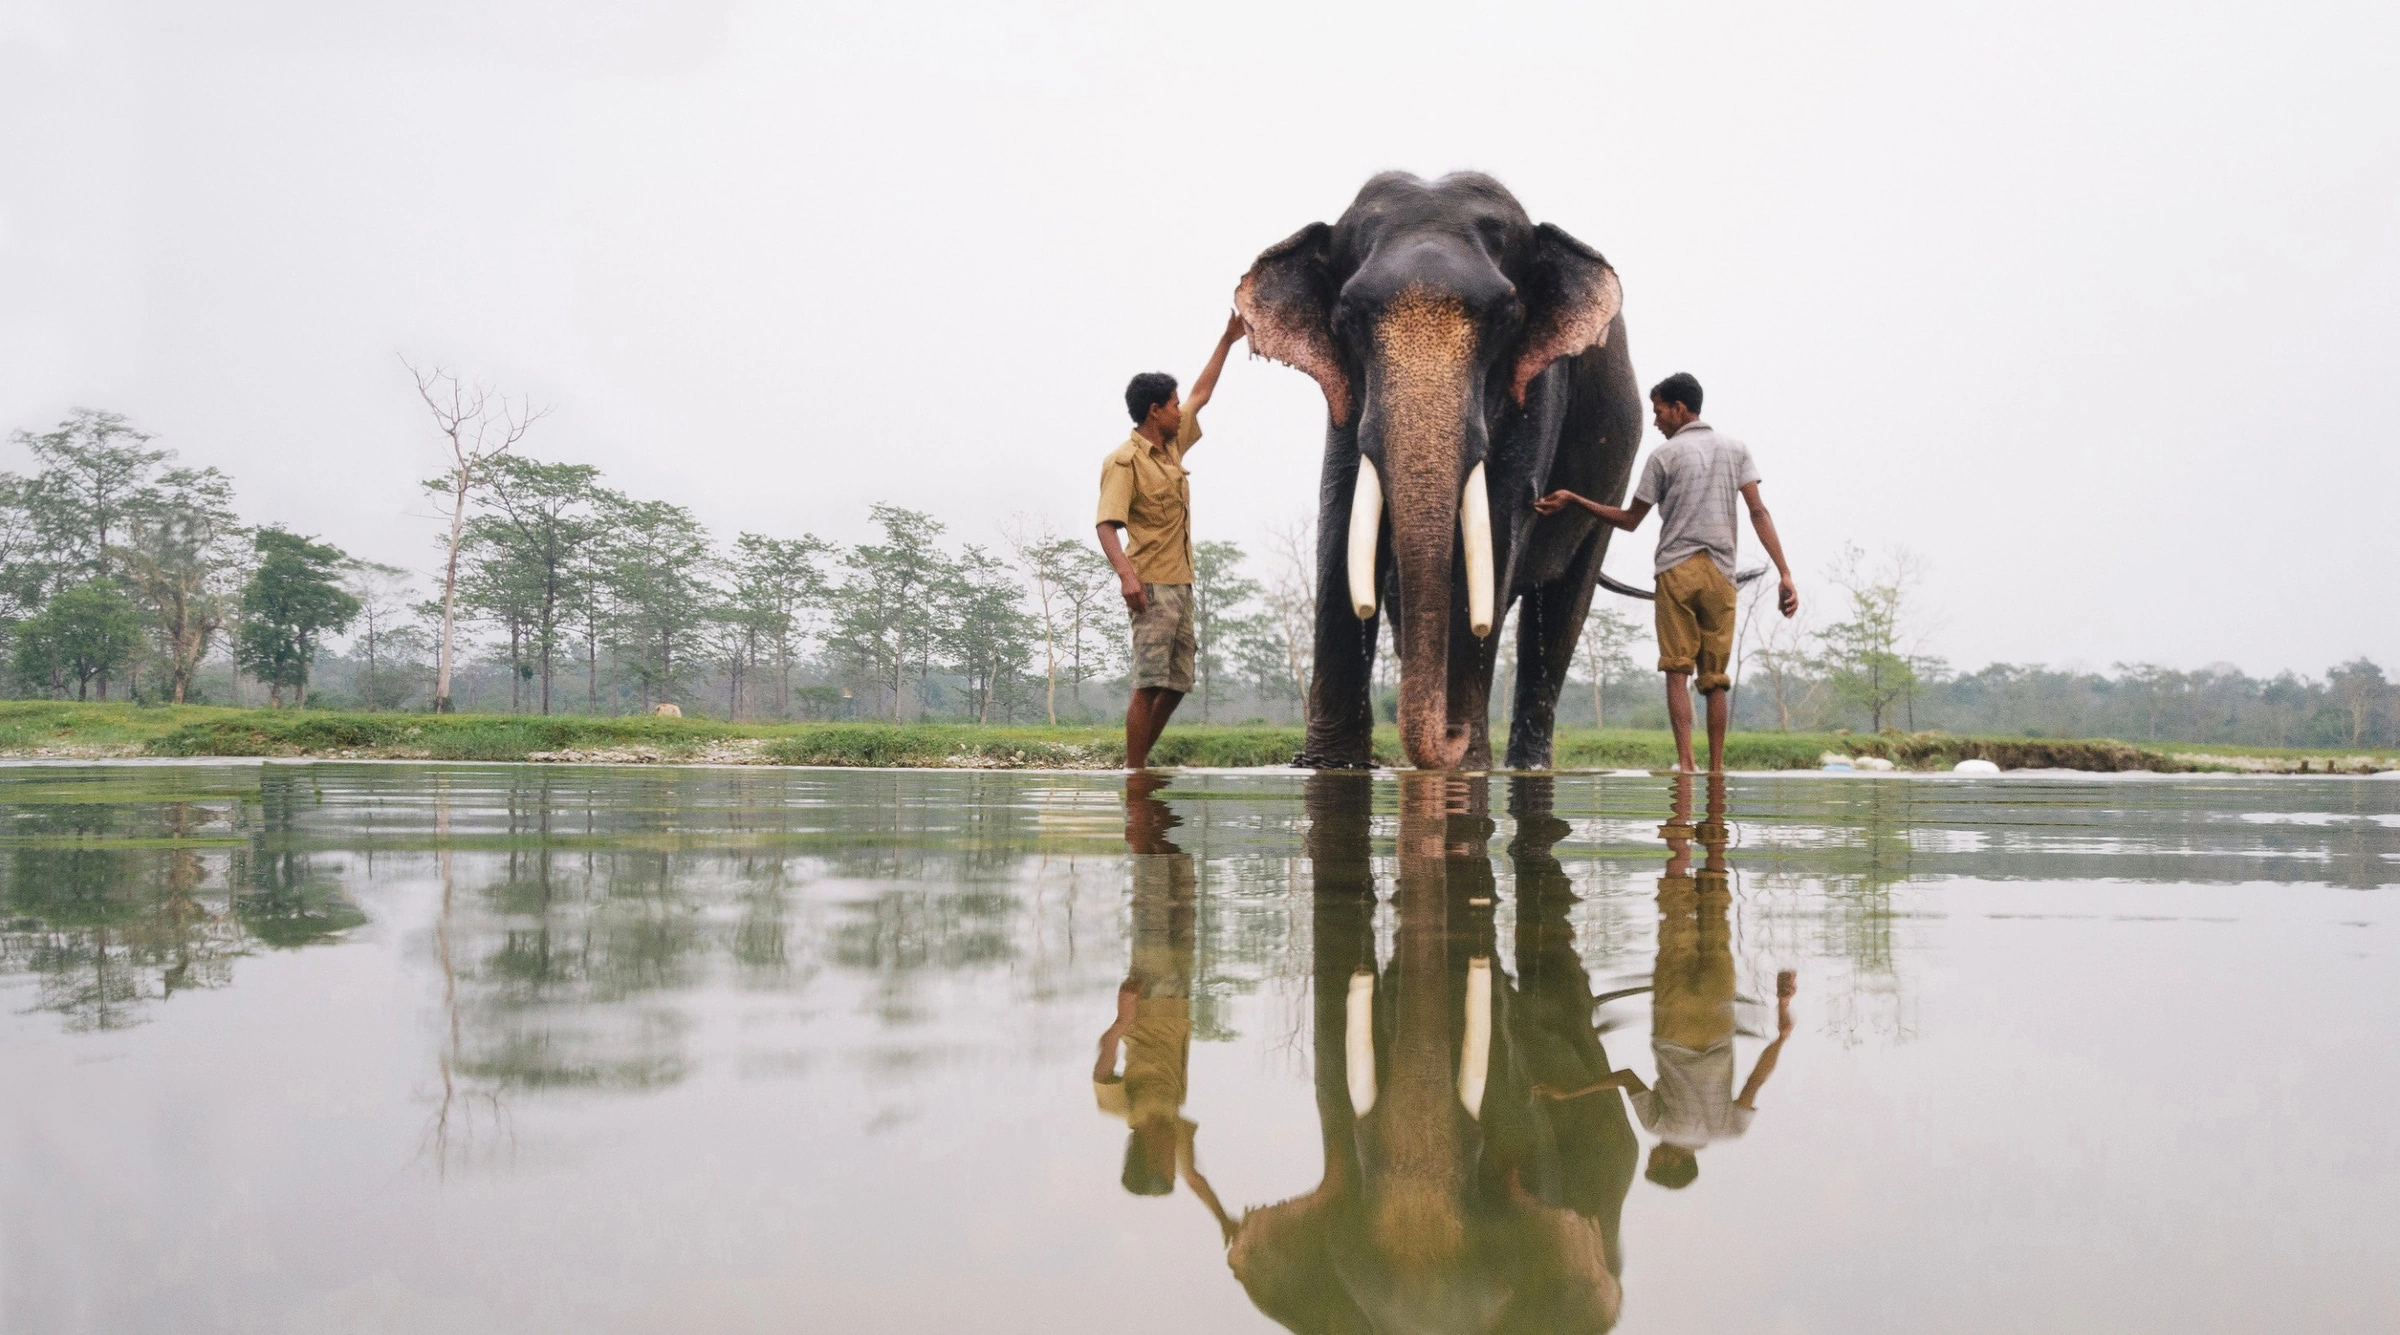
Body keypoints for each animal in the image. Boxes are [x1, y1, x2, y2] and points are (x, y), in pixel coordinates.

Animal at [1238, 175, 1651, 773]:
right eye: (1347, 316)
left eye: (1506, 317)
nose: (1451, 736)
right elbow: (1339, 525)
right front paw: (1328, 766)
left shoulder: (1538, 391)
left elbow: (1495, 527)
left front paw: (1468, 762)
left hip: (1613, 481)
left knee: (1560, 611)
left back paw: (1525, 765)